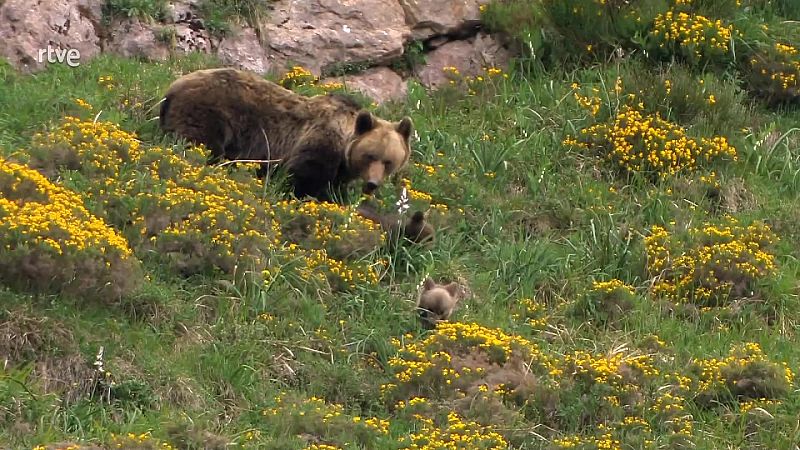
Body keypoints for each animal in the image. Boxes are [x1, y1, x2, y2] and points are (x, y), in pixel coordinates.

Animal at [160, 67, 416, 200]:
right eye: (370, 155)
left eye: (389, 161)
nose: (372, 184)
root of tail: (173, 88)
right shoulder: (320, 142)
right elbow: (304, 177)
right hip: (211, 113)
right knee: (201, 144)